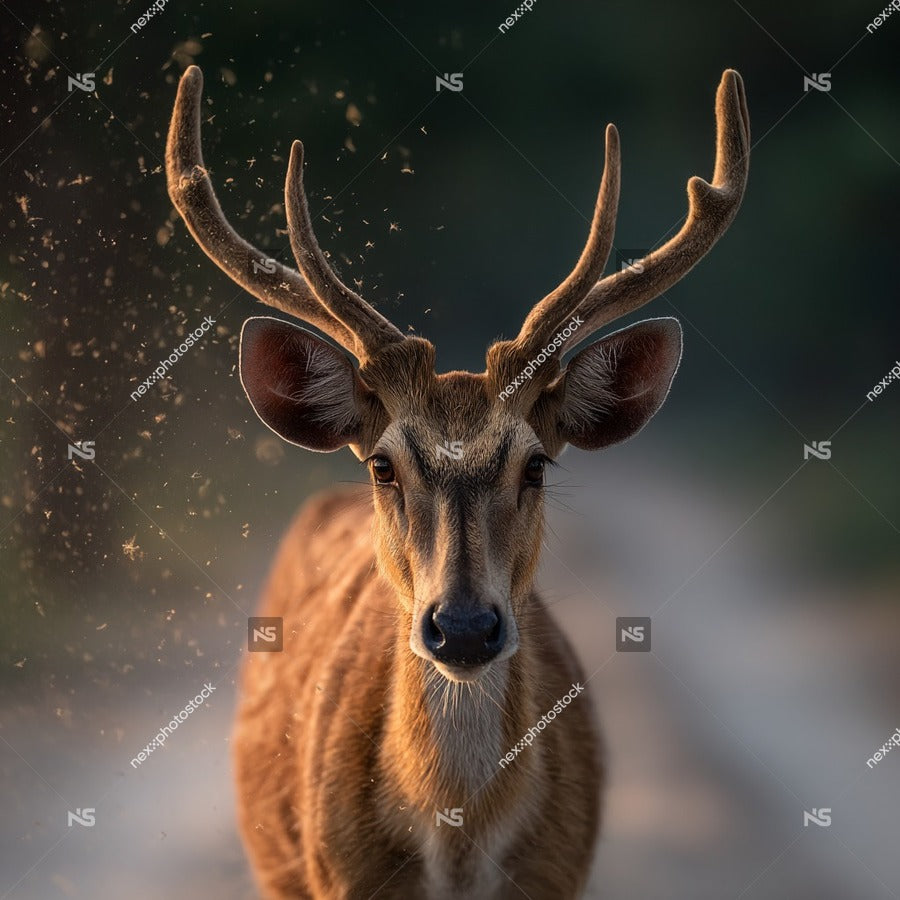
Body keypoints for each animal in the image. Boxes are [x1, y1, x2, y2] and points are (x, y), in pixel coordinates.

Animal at [165, 65, 749, 899]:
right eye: (383, 464)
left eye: (536, 463)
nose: (466, 626)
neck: (461, 850)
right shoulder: (339, 878)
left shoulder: (559, 873)